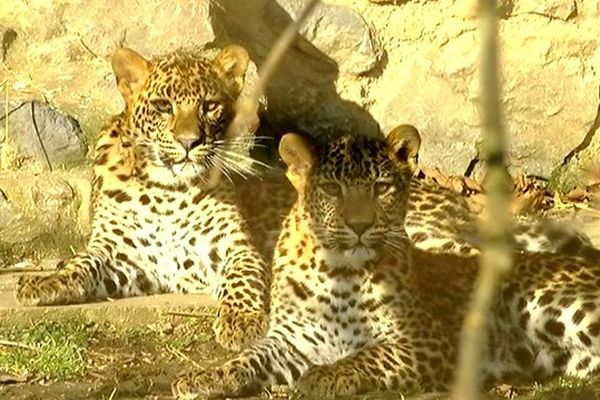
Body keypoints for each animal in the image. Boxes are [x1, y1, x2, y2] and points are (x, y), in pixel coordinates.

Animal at [15, 44, 270, 350]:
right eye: (163, 106)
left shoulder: (235, 250)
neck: (169, 192)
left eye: (210, 106)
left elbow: (243, 278)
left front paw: (241, 319)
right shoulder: (124, 258)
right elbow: (83, 264)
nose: (189, 142)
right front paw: (47, 280)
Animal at [171, 130, 600, 398]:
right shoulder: (290, 342)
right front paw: (202, 376)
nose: (360, 225)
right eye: (332, 189)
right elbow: (247, 358)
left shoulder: (428, 342)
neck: (336, 272)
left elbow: (370, 354)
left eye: (381, 188)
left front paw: (325, 375)